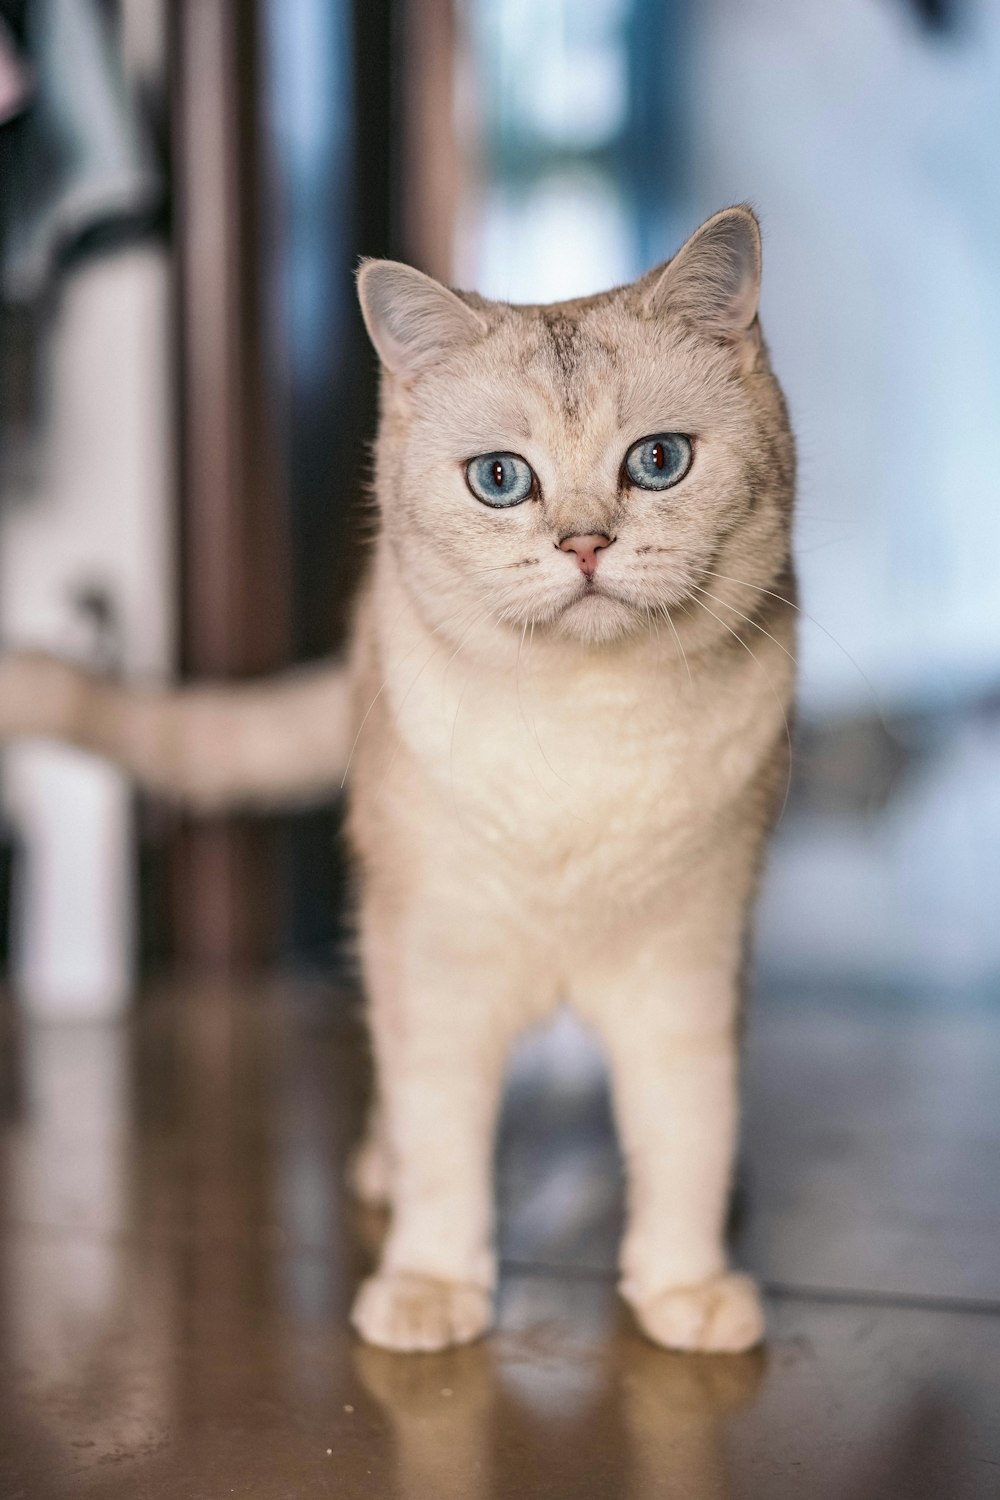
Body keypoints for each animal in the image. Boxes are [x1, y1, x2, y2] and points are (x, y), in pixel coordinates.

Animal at [0, 208, 797, 1362]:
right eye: (501, 480)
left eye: (658, 462)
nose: (586, 544)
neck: (585, 732)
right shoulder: (432, 964)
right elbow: (441, 1143)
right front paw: (427, 1286)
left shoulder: (686, 964)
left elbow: (688, 1130)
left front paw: (685, 1284)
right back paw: (379, 1173)